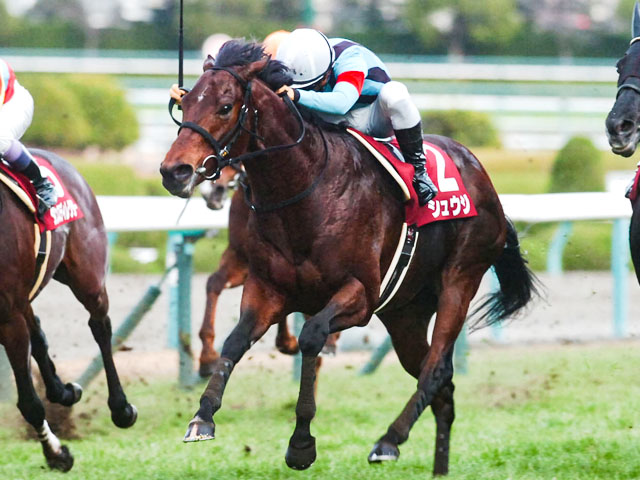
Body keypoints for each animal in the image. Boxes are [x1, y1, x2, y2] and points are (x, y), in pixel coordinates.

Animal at [0, 148, 138, 470]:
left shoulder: (8, 317)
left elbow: (30, 404)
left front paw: (56, 454)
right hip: (27, 292)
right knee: (38, 334)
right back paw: (63, 391)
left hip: (87, 276)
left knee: (100, 327)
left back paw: (121, 408)